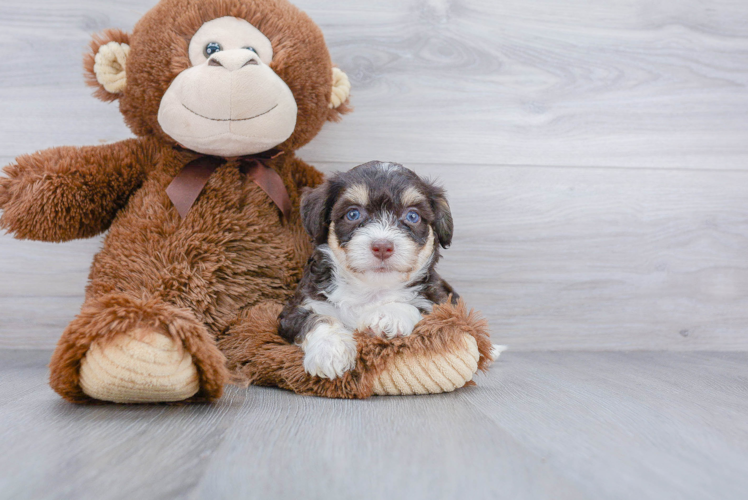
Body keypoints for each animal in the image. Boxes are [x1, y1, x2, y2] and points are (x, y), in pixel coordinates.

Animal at [280, 161, 458, 378]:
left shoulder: (442, 305)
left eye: (412, 216)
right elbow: (316, 318)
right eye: (353, 214)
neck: (370, 289)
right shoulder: (296, 308)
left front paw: (389, 315)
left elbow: (420, 306)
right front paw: (330, 349)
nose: (382, 246)